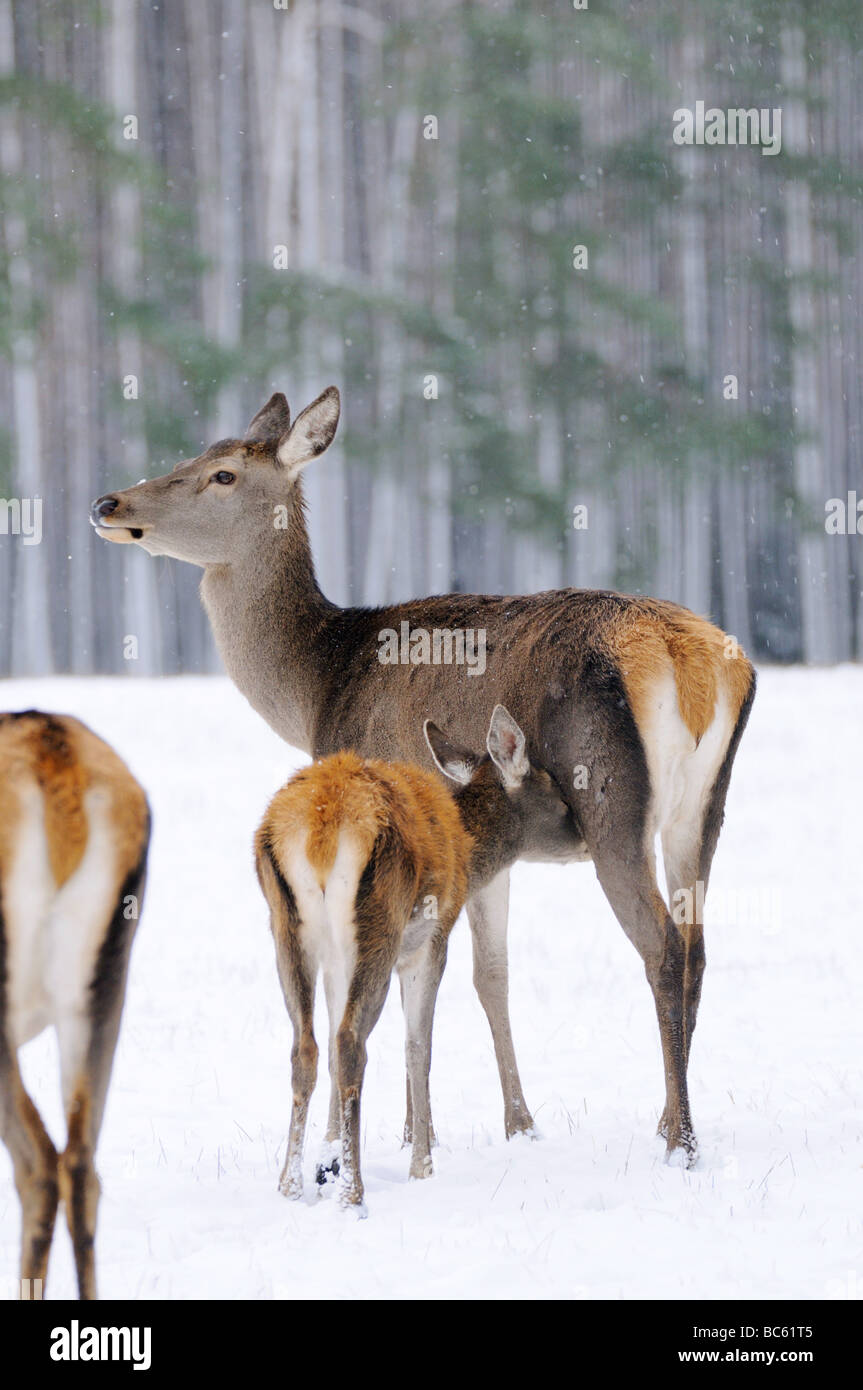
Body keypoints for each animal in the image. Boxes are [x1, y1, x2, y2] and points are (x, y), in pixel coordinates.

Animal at [92, 383, 755, 1162]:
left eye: (222, 473)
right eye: (196, 452)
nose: (109, 503)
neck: (317, 692)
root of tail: (692, 664)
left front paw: (374, 1137)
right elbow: (490, 975)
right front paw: (514, 1124)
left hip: (610, 801)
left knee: (660, 946)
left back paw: (679, 1140)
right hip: (702, 811)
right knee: (698, 948)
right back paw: (666, 1117)